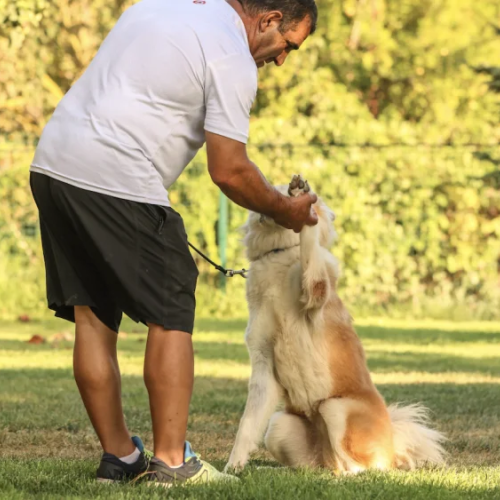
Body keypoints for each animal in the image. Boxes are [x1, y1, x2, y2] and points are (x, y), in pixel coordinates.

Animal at [226, 175, 446, 472]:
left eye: (280, 191)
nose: (265, 201)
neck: (278, 253)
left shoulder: (315, 293)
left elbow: (310, 253)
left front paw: (303, 199)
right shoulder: (263, 365)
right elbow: (247, 426)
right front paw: (232, 468)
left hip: (334, 407)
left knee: (363, 467)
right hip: (279, 426)